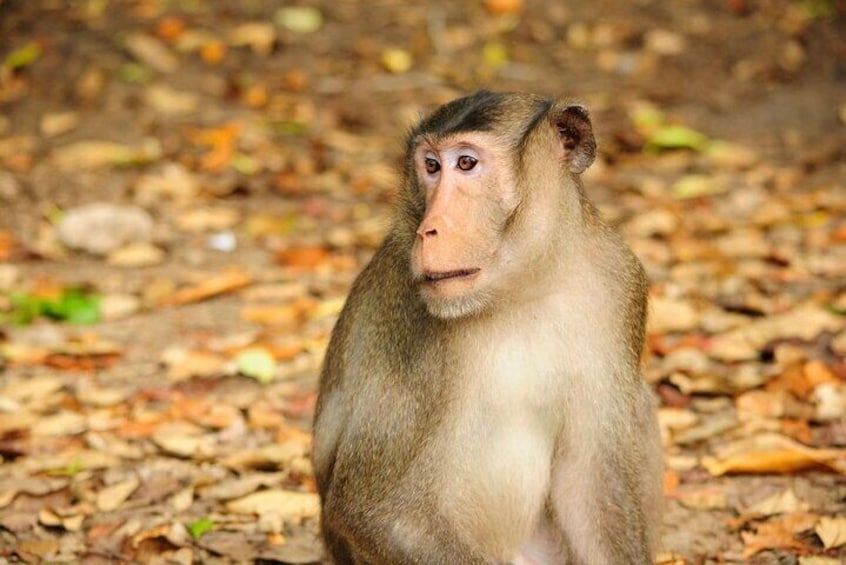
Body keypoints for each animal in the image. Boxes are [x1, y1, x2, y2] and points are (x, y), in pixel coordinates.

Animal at [312, 90, 664, 560]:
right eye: (431, 166)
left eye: (466, 163)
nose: (429, 230)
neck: (520, 287)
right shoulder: (409, 313)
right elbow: (379, 513)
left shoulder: (617, 281)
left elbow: (590, 485)